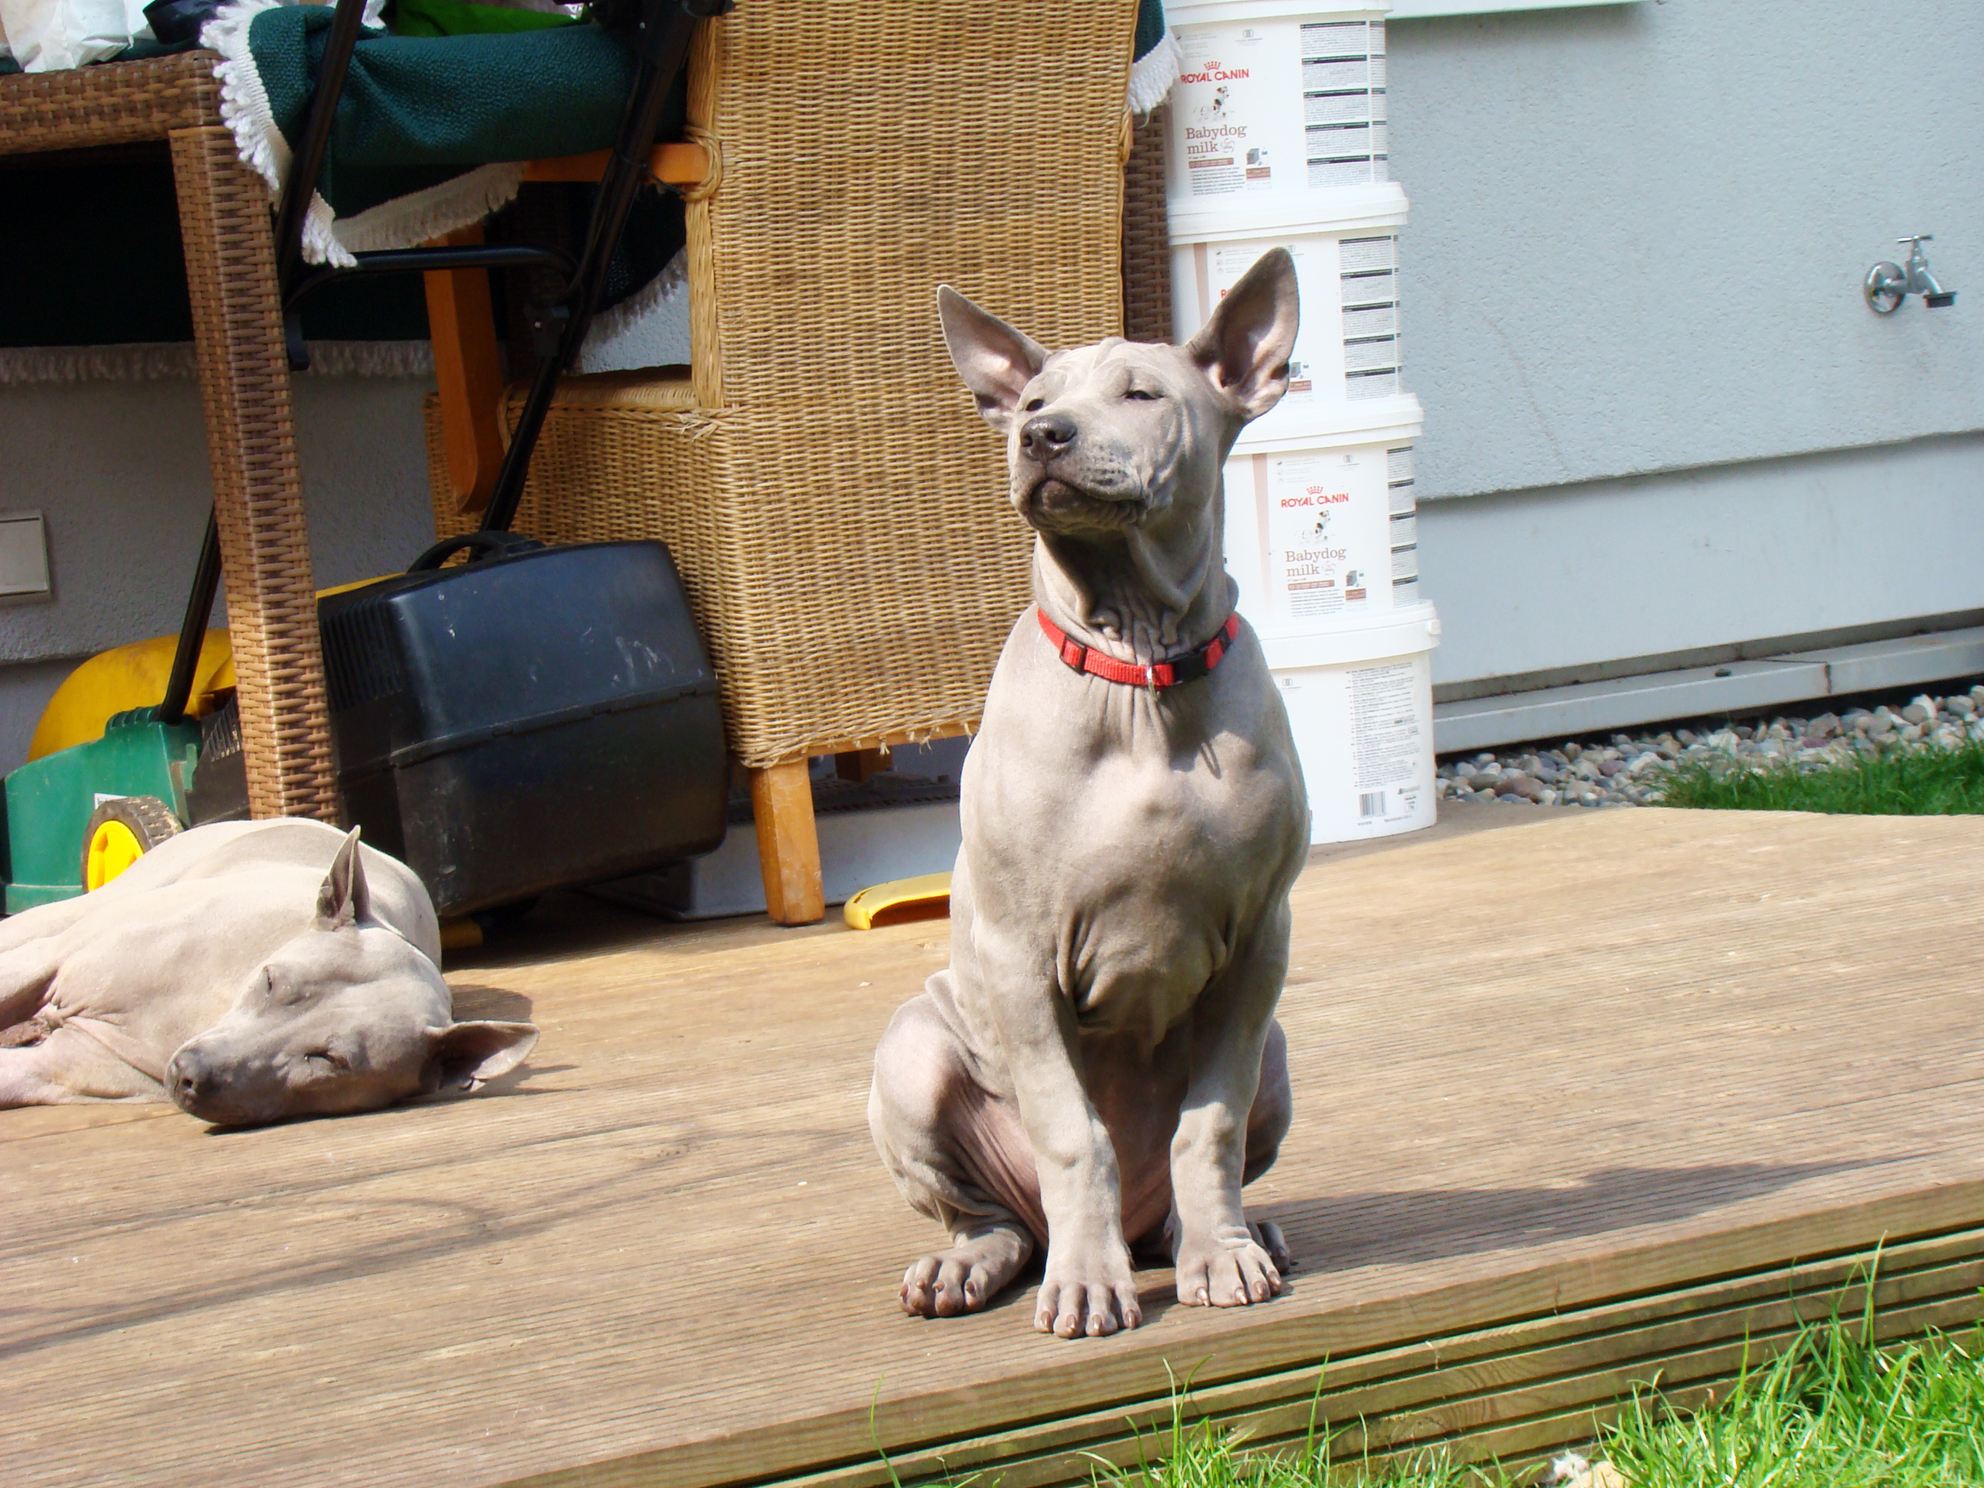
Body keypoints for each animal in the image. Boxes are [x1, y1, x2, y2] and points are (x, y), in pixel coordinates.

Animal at [0, 818, 536, 1125]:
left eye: (327, 1060)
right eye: (272, 982)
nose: (190, 1074)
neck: (209, 1008)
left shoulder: (61, 1069)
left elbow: (22, 1076)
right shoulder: (55, 960)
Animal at [867, 249, 1309, 1338]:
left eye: (1141, 394)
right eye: (1031, 401)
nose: (1042, 437)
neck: (1137, 668)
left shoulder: (1258, 945)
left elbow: (1209, 1123)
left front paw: (1224, 1258)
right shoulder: (1019, 956)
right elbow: (1074, 1132)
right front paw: (1084, 1286)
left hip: (1279, 1046)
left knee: (1185, 1181)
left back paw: (1222, 1233)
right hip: (913, 1054)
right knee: (993, 1216)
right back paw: (981, 1264)